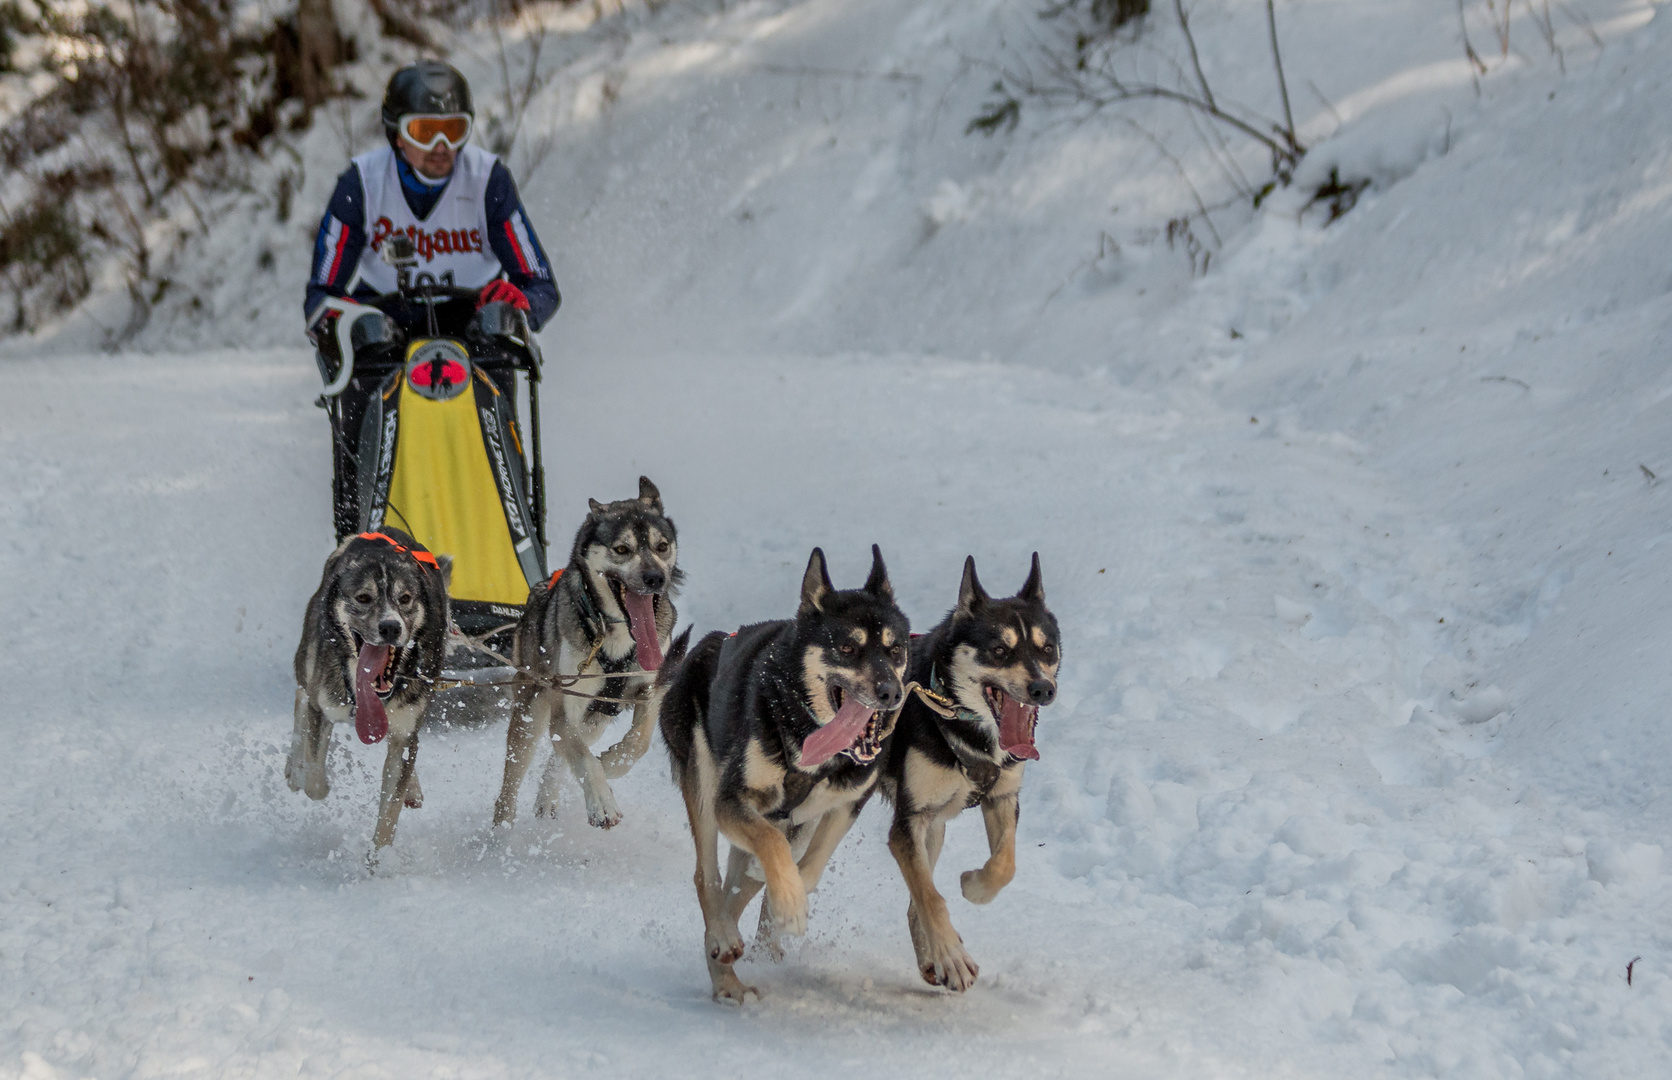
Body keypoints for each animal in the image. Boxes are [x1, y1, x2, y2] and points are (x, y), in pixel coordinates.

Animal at [285, 531, 451, 855]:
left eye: (405, 598)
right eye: (364, 598)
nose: (390, 627)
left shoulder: (405, 730)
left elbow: (389, 813)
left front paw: (379, 859)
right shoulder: (323, 706)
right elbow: (315, 783)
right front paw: (303, 772)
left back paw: (413, 789)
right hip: (309, 666)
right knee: (302, 697)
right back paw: (293, 766)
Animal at [491, 478, 682, 832]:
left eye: (662, 546)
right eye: (621, 550)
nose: (655, 578)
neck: (617, 636)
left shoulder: (649, 689)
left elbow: (637, 744)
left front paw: (609, 765)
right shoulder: (565, 704)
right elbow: (582, 759)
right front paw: (603, 802)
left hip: (597, 718)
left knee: (562, 753)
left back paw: (547, 798)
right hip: (531, 712)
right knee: (514, 779)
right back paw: (501, 831)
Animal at [658, 551, 909, 1009]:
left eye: (894, 648)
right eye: (847, 648)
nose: (890, 692)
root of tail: (708, 645)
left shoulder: (845, 805)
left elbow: (810, 863)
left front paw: (788, 896)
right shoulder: (733, 801)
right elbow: (769, 847)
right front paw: (790, 905)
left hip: (791, 824)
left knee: (740, 887)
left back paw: (728, 965)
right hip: (703, 781)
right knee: (709, 878)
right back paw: (724, 948)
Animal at [876, 561, 1056, 996]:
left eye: (1048, 649)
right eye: (999, 650)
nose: (1043, 688)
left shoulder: (1002, 799)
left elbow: (1004, 865)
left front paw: (974, 885)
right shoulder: (909, 822)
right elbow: (931, 896)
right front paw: (953, 958)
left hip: (935, 830)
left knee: (916, 898)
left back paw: (931, 960)